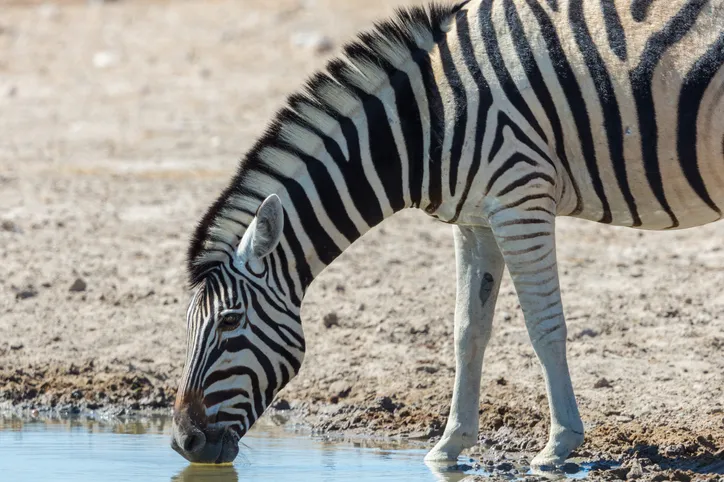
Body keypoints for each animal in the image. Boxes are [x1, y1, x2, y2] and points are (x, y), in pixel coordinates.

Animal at [171, 0, 724, 468]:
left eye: (230, 322)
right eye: (189, 324)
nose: (183, 443)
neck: (426, 121)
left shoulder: (520, 198)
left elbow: (544, 326)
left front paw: (559, 445)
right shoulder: (477, 219)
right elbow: (467, 330)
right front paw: (449, 445)